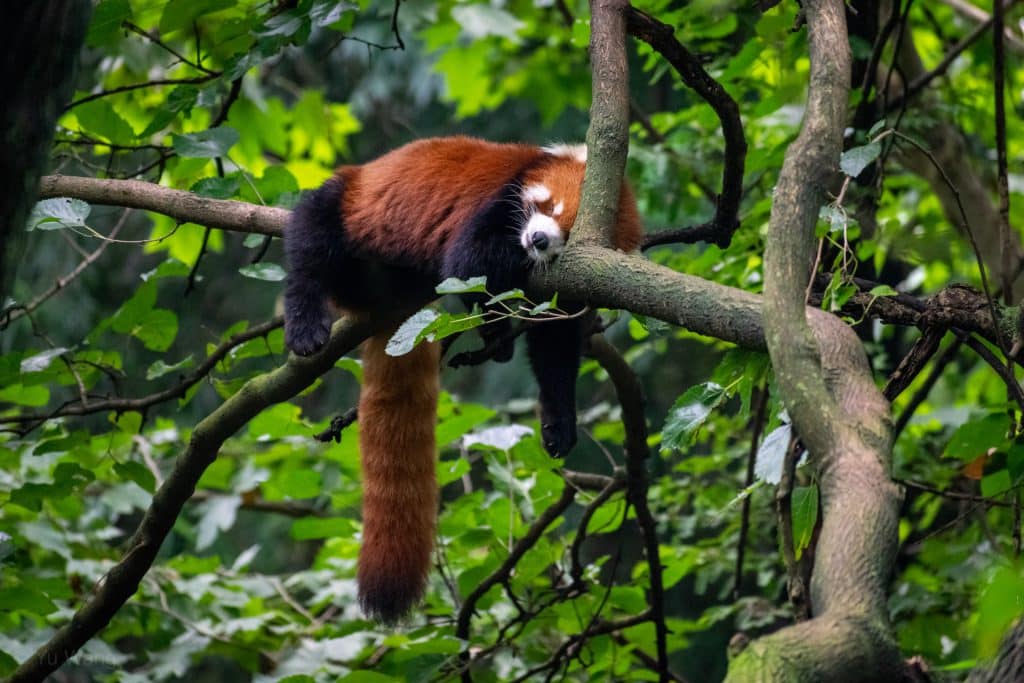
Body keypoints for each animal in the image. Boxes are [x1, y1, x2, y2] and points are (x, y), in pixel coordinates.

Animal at [282, 136, 638, 622]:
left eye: (567, 235)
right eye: (549, 206)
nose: (538, 239)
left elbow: (554, 350)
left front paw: (559, 422)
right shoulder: (497, 203)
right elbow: (469, 265)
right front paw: (497, 324)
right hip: (349, 204)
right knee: (310, 238)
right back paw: (305, 324)